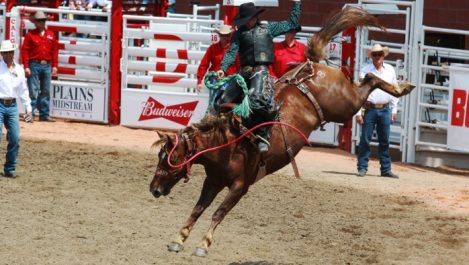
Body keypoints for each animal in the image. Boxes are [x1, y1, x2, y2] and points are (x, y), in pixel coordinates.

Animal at [149, 6, 414, 256]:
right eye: (159, 156)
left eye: (171, 157)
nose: (153, 189)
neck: (226, 144)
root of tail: (311, 67)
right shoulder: (212, 181)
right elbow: (198, 209)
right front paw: (178, 239)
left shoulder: (240, 186)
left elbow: (218, 213)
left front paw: (203, 245)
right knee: (366, 78)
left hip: (345, 105)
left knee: (369, 78)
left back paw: (402, 87)